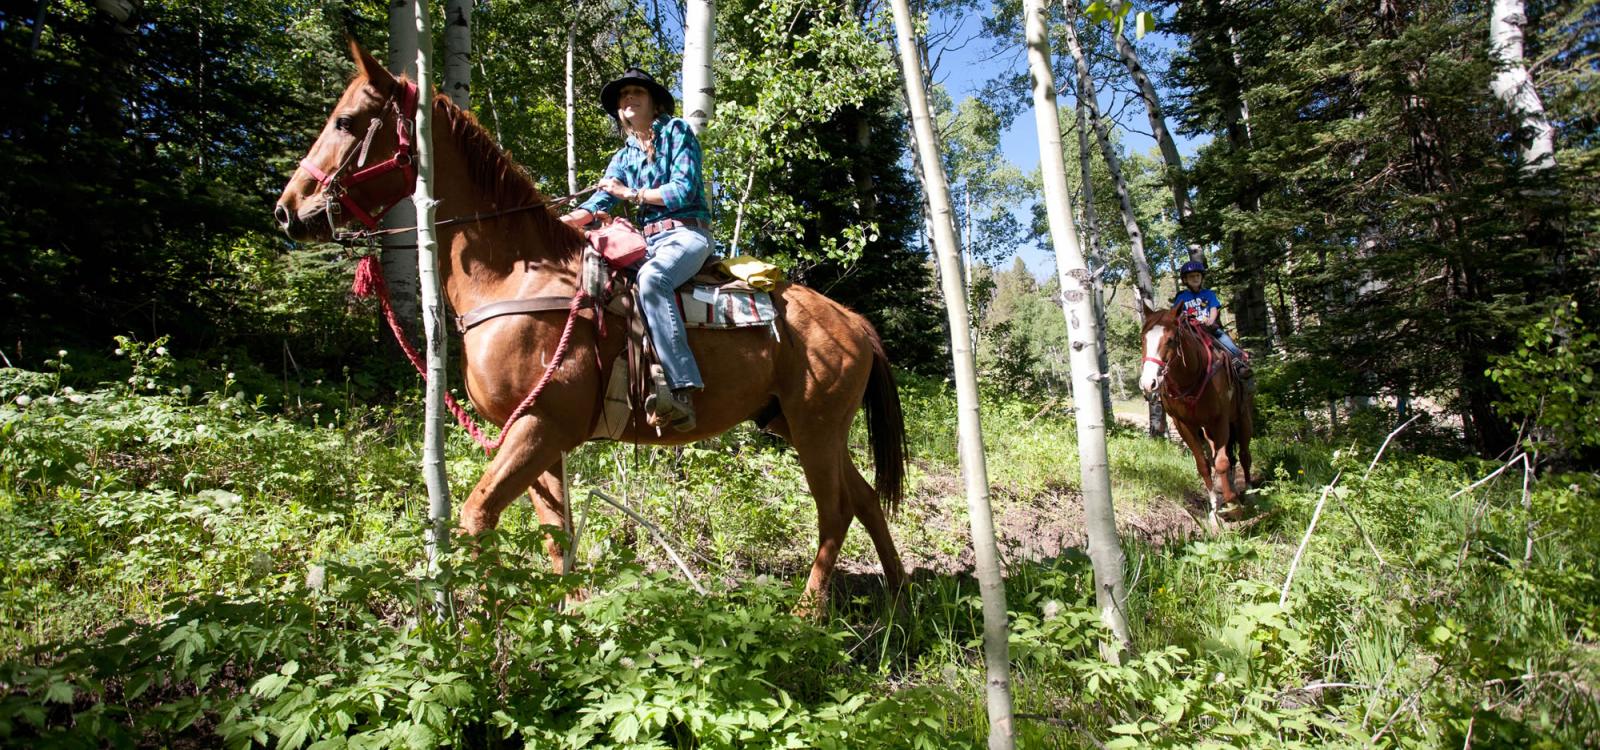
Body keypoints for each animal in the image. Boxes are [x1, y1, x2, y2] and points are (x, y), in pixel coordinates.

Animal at [268, 42, 908, 607]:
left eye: (347, 121)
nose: (288, 211)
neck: (516, 276)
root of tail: (853, 322)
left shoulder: (542, 427)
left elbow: (478, 516)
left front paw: (486, 634)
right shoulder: (534, 434)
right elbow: (557, 534)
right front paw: (567, 620)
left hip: (815, 428)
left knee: (835, 510)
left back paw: (808, 615)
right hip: (798, 425)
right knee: (865, 499)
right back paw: (901, 599)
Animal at [1132, 302, 1254, 527]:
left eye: (1171, 339)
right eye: (1143, 338)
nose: (1148, 383)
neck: (1189, 379)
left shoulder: (1219, 419)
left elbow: (1221, 463)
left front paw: (1233, 506)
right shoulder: (1184, 424)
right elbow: (1204, 465)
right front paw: (1215, 510)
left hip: (1242, 417)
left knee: (1243, 454)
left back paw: (1249, 492)